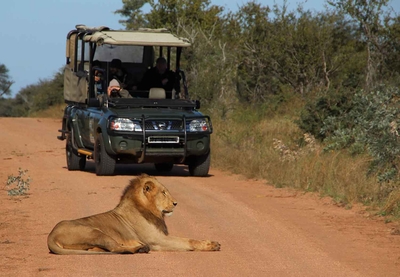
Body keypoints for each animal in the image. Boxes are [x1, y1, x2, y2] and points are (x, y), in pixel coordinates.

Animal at [47, 174, 222, 253]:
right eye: (163, 193)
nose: (175, 203)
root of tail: (51, 235)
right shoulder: (157, 240)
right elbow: (187, 241)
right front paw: (211, 245)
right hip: (94, 231)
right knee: (114, 249)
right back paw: (140, 248)